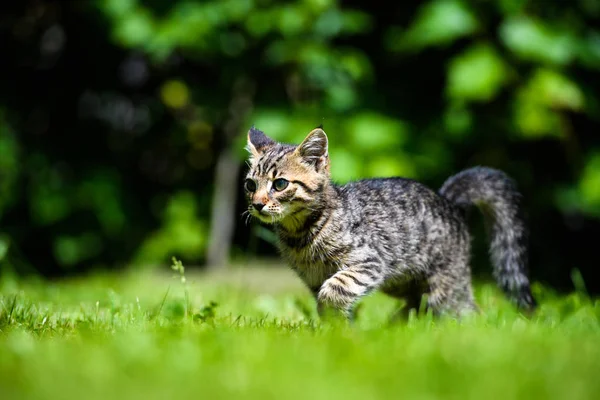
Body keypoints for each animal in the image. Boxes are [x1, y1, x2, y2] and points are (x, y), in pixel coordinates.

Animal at [244, 125, 540, 318]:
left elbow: (334, 290)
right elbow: (326, 304)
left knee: (466, 311)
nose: (257, 204)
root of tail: (449, 201)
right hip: (402, 283)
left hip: (446, 284)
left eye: (280, 184)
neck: (300, 235)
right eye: (250, 185)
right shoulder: (313, 278)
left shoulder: (369, 262)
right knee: (417, 306)